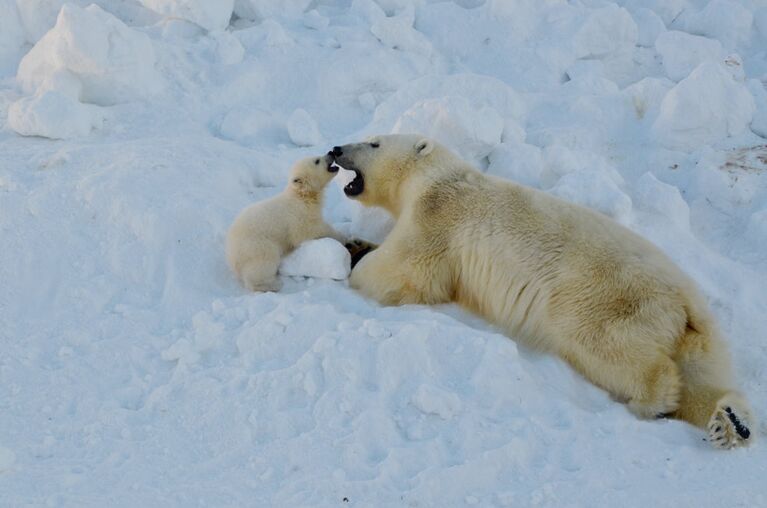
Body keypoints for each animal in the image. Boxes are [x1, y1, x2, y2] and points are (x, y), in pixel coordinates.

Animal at [332, 133, 752, 446]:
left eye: (374, 142)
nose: (335, 149)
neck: (434, 177)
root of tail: (686, 304)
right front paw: (356, 244)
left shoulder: (438, 217)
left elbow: (403, 270)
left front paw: (351, 258)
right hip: (699, 339)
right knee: (706, 381)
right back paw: (730, 423)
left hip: (608, 302)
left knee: (606, 345)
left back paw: (653, 403)